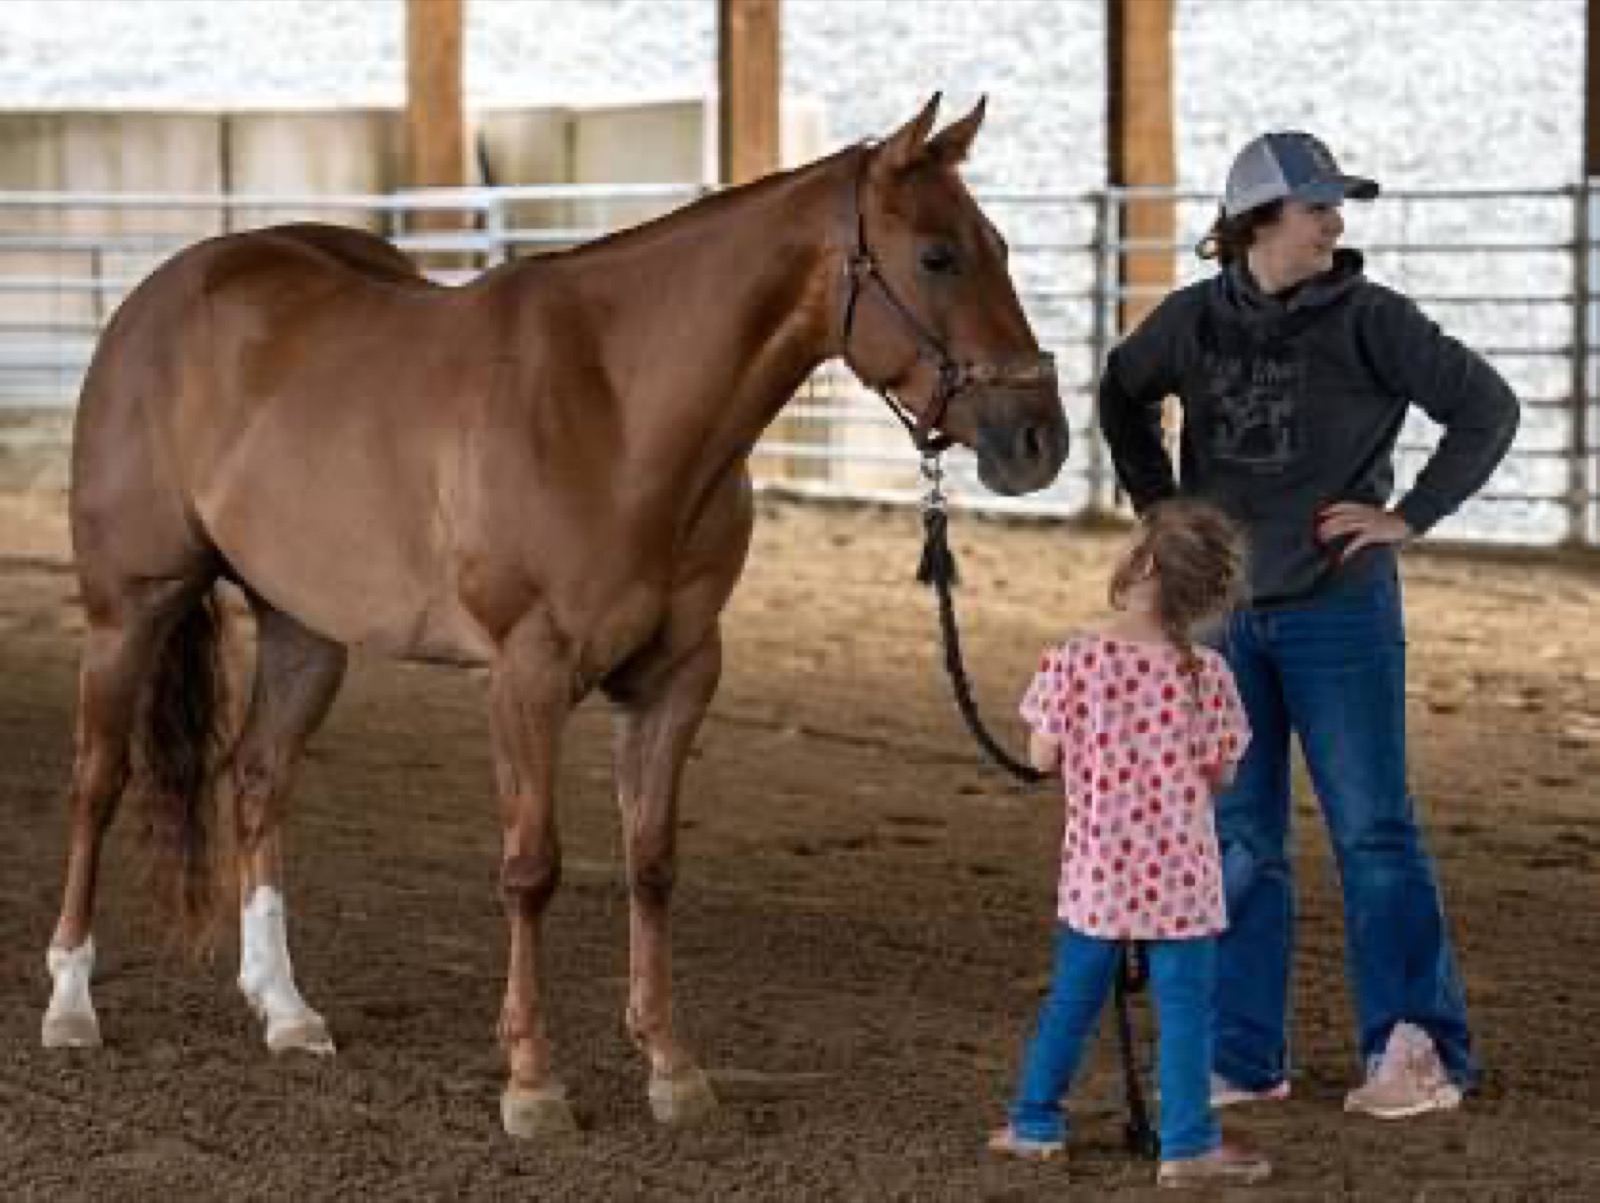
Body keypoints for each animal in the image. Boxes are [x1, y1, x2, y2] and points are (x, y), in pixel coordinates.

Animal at [40, 94, 1069, 1138]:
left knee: (257, 780)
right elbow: (531, 867)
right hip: (128, 608)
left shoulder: (678, 674)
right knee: (97, 781)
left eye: (1000, 246)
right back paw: (71, 1004)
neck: (620, 404)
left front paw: (671, 1067)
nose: (1042, 440)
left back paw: (285, 1010)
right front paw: (532, 1081)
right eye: (938, 256)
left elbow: (651, 862)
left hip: (303, 630)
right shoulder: (528, 674)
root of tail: (158, 296)